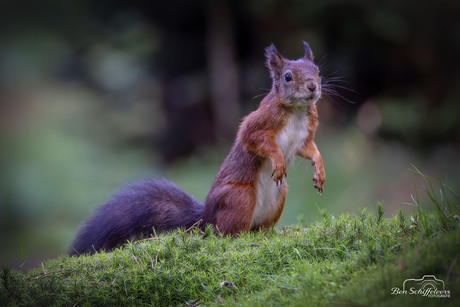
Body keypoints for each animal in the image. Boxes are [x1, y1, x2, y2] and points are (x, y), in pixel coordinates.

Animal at [70, 42, 326, 256]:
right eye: (288, 76)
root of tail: (205, 219)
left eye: (318, 71)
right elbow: (256, 141)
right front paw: (279, 160)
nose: (313, 86)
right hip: (240, 198)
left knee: (257, 227)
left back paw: (268, 234)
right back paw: (239, 238)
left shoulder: (305, 136)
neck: (296, 111)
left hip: (278, 196)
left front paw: (320, 171)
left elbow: (310, 150)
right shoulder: (258, 124)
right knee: (226, 233)